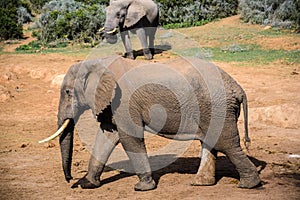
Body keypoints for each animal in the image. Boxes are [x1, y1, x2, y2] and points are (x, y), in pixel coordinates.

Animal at [39, 55, 260, 191]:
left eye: (68, 92)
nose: (70, 181)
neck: (96, 63)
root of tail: (238, 87)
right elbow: (107, 137)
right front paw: (87, 185)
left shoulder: (123, 101)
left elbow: (130, 138)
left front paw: (142, 188)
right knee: (211, 141)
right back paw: (200, 184)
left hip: (217, 106)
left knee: (225, 143)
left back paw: (249, 185)